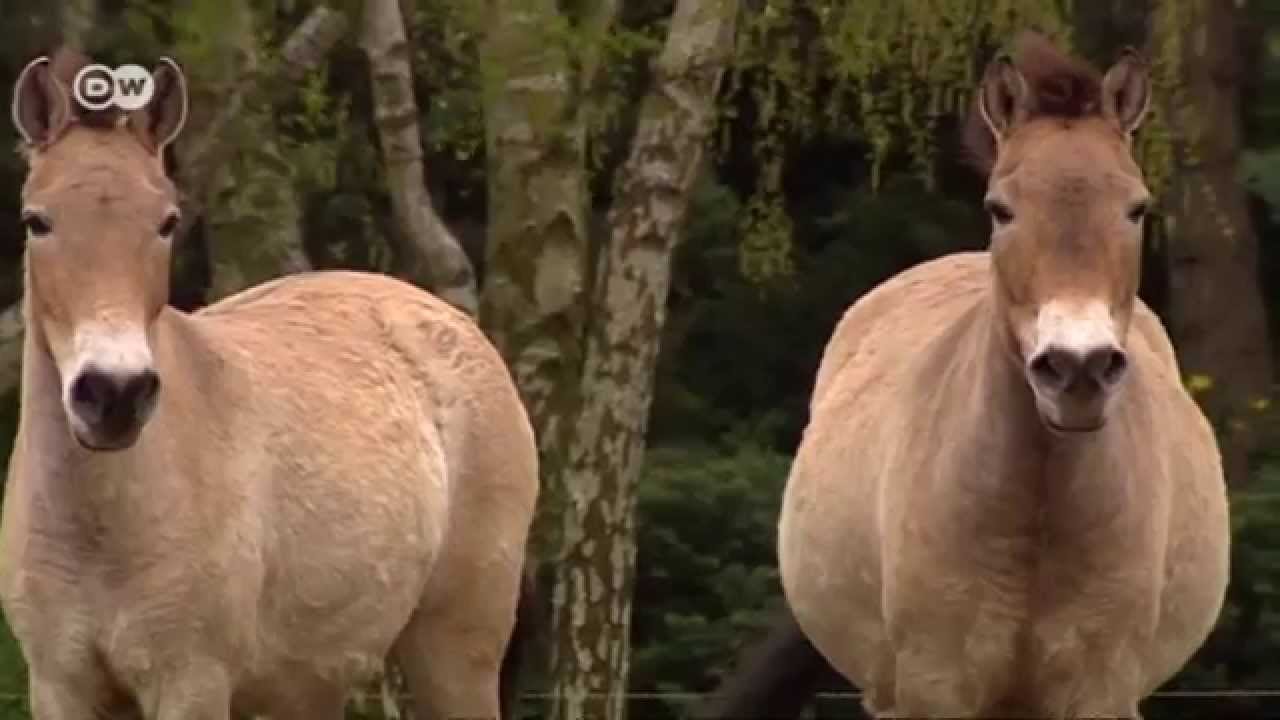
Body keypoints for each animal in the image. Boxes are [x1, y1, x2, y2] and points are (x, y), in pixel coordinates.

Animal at [1, 49, 539, 719]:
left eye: (167, 222)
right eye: (35, 221)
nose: (114, 393)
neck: (98, 525)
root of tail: (450, 321)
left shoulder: (191, 682)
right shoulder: (60, 686)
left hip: (455, 652)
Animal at [776, 34, 1229, 719]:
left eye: (1137, 207)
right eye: (1000, 208)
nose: (1077, 367)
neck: (1034, 512)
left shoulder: (1099, 691)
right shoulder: (933, 690)